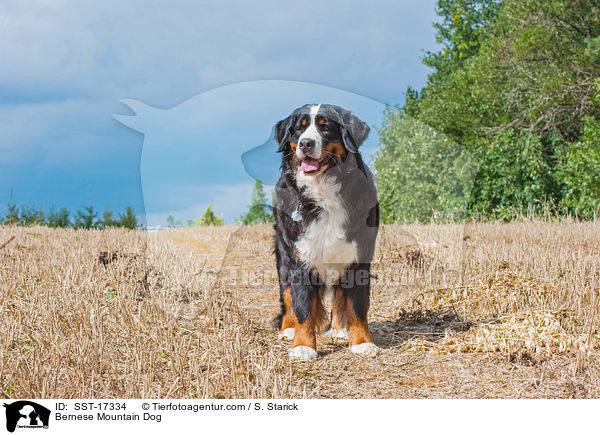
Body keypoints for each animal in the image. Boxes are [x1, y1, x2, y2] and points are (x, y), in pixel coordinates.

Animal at [274, 103, 380, 362]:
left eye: (325, 127)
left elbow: (357, 305)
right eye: (298, 129)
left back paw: (340, 329)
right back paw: (288, 329)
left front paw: (362, 342)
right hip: (284, 257)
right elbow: (302, 304)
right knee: (288, 295)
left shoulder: (358, 257)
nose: (305, 144)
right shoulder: (300, 257)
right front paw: (303, 345)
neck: (324, 191)